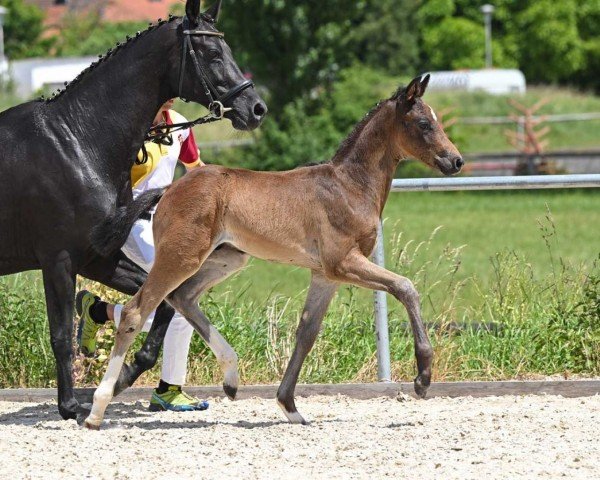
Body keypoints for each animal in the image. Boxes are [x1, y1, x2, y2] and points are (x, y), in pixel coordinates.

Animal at [0, 0, 268, 420]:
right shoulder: (58, 260)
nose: (255, 109)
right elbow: (59, 334)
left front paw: (126, 373)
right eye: (211, 53)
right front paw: (70, 406)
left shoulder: (97, 256)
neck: (76, 142)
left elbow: (159, 304)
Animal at [85, 72, 464, 428]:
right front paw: (422, 378)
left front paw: (289, 406)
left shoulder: (325, 275)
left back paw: (231, 378)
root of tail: (168, 190)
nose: (456, 161)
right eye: (424, 123)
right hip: (182, 256)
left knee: (183, 298)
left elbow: (306, 333)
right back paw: (97, 409)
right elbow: (405, 287)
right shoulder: (343, 262)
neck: (349, 187)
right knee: (136, 311)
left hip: (227, 258)